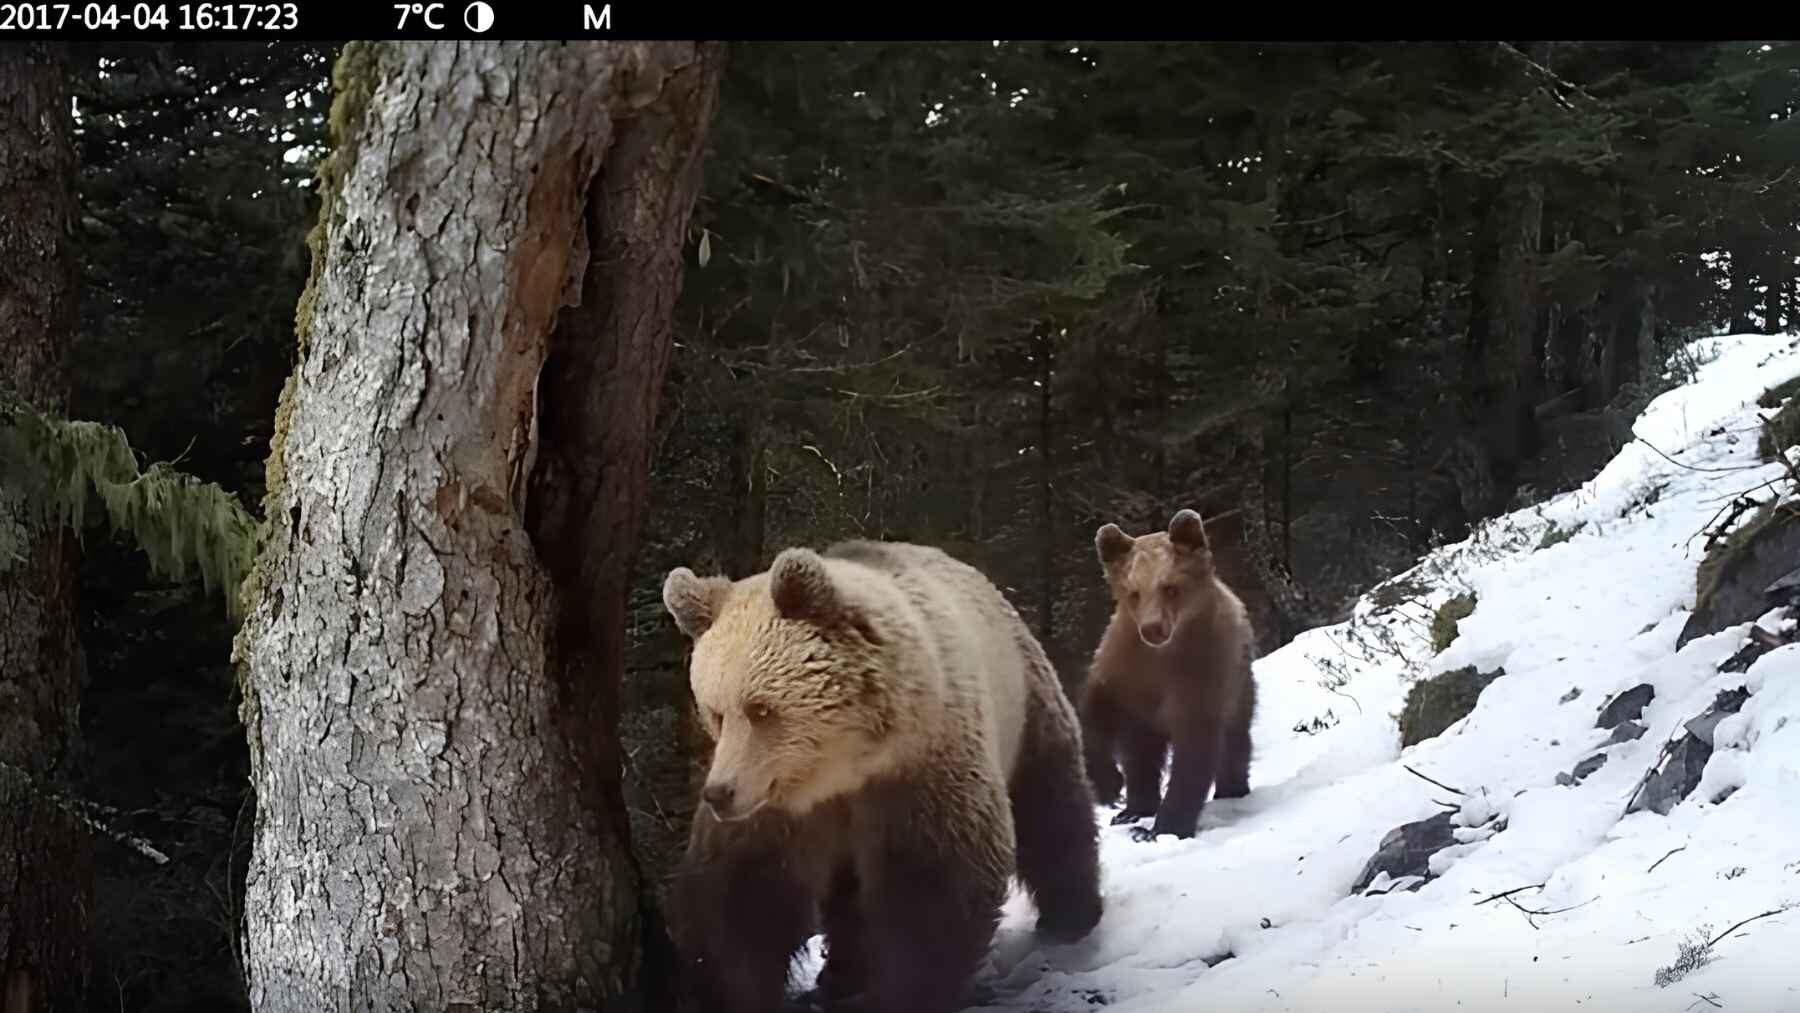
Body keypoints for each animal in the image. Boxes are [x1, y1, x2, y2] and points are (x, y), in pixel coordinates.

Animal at [658, 539, 1104, 1013]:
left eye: (760, 709)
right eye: (715, 712)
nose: (719, 792)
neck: (841, 765)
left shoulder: (920, 770)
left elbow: (931, 886)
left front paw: (905, 990)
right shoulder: (777, 807)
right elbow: (740, 896)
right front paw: (732, 988)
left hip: (1024, 708)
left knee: (1052, 808)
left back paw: (1073, 914)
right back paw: (842, 973)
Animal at [1079, 508, 1258, 843]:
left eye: (1171, 587)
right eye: (1133, 593)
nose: (1152, 628)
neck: (1162, 657)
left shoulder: (1198, 674)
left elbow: (1195, 752)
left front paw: (1165, 827)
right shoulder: (1124, 665)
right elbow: (1097, 711)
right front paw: (1108, 783)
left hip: (1239, 686)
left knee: (1235, 741)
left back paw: (1231, 789)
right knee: (1140, 754)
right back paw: (1133, 808)